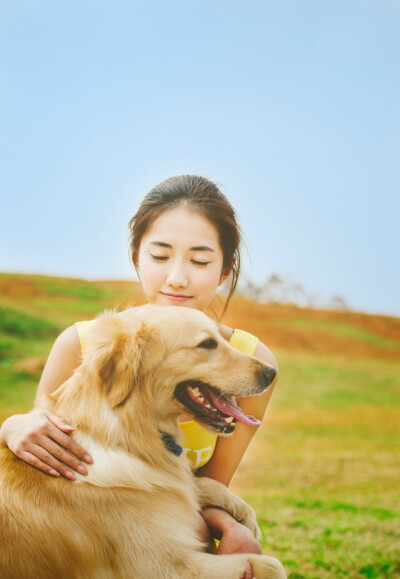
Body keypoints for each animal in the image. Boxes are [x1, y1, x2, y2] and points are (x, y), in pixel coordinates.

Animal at [0, 306, 284, 576]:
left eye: (220, 338)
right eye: (207, 343)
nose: (272, 373)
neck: (125, 432)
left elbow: (199, 483)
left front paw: (245, 514)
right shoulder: (165, 567)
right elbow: (273, 566)